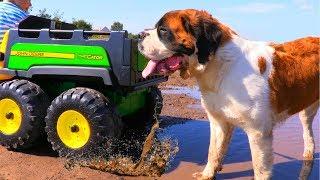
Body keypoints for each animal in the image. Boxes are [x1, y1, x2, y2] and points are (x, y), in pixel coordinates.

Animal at [139, 9, 318, 180]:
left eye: (163, 30)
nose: (140, 35)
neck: (221, 66)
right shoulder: (219, 121)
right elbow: (213, 152)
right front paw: (207, 174)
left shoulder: (258, 132)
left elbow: (260, 169)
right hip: (307, 110)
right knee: (308, 132)